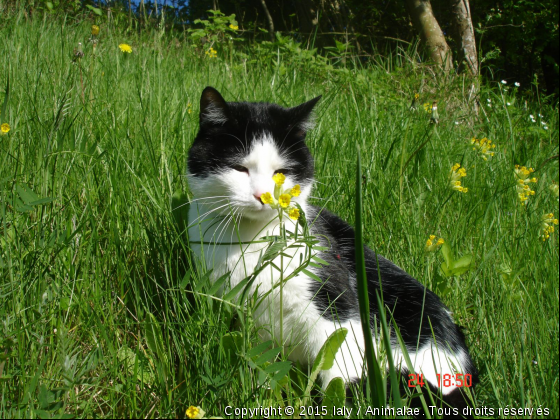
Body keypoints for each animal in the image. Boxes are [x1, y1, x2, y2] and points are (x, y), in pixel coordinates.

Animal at [188, 85, 476, 410]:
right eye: (239, 168)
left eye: (281, 172)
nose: (264, 196)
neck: (252, 241)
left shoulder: (334, 307)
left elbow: (337, 373)